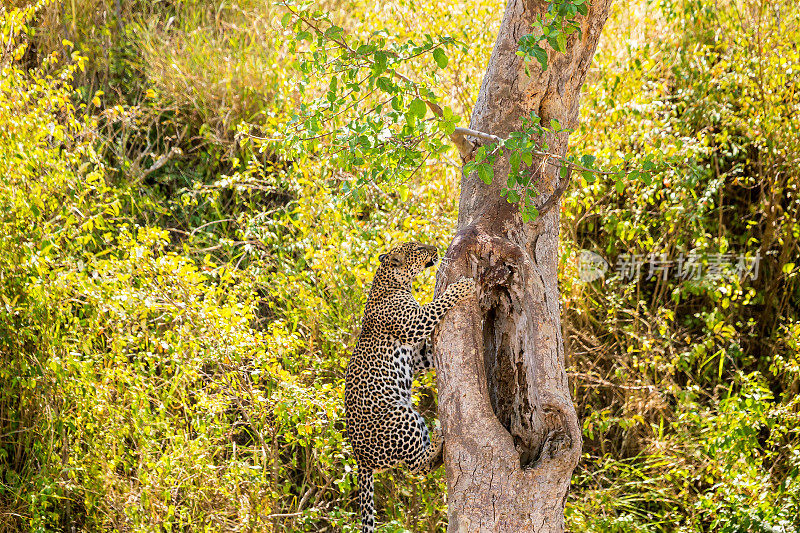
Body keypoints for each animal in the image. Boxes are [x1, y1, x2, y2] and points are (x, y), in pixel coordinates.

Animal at [342, 241, 476, 532]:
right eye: (418, 248)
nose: (434, 247)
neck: (392, 282)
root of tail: (360, 460)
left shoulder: (416, 357)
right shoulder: (413, 324)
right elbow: (438, 304)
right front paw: (462, 286)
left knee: (420, 467)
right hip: (401, 414)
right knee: (415, 465)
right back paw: (438, 438)